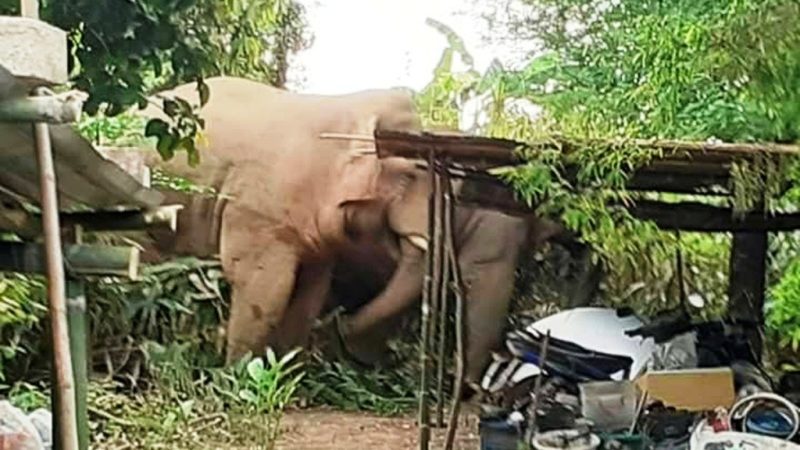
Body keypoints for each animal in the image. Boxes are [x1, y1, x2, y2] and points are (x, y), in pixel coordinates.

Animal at [133, 76, 579, 385]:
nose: (342, 323)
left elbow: (309, 290)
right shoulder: (259, 206)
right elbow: (266, 286)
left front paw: (290, 380)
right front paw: (237, 382)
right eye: (414, 171)